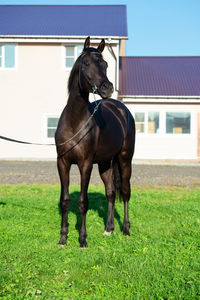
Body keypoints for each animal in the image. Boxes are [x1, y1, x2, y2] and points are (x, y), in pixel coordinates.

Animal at [55, 36, 135, 247]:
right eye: (86, 63)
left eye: (105, 64)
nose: (107, 88)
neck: (75, 122)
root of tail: (121, 109)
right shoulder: (62, 163)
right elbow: (65, 200)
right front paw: (63, 238)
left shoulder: (86, 164)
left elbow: (83, 202)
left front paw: (82, 240)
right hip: (106, 163)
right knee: (110, 192)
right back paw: (109, 229)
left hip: (125, 160)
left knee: (125, 192)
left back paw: (125, 230)